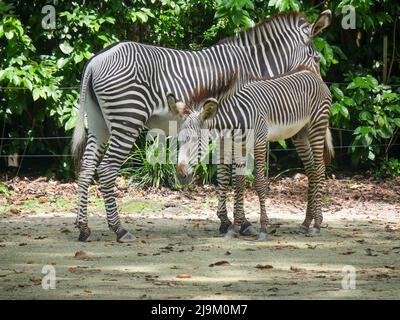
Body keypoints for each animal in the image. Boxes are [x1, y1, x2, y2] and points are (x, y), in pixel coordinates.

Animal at [167, 65, 332, 240]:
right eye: (179, 140)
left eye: (197, 140)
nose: (181, 175)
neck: (234, 120)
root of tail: (313, 74)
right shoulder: (239, 146)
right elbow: (238, 183)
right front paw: (235, 228)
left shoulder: (259, 143)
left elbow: (259, 183)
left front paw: (263, 229)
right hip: (300, 134)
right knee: (311, 170)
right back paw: (306, 223)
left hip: (317, 127)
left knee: (320, 169)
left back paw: (317, 225)